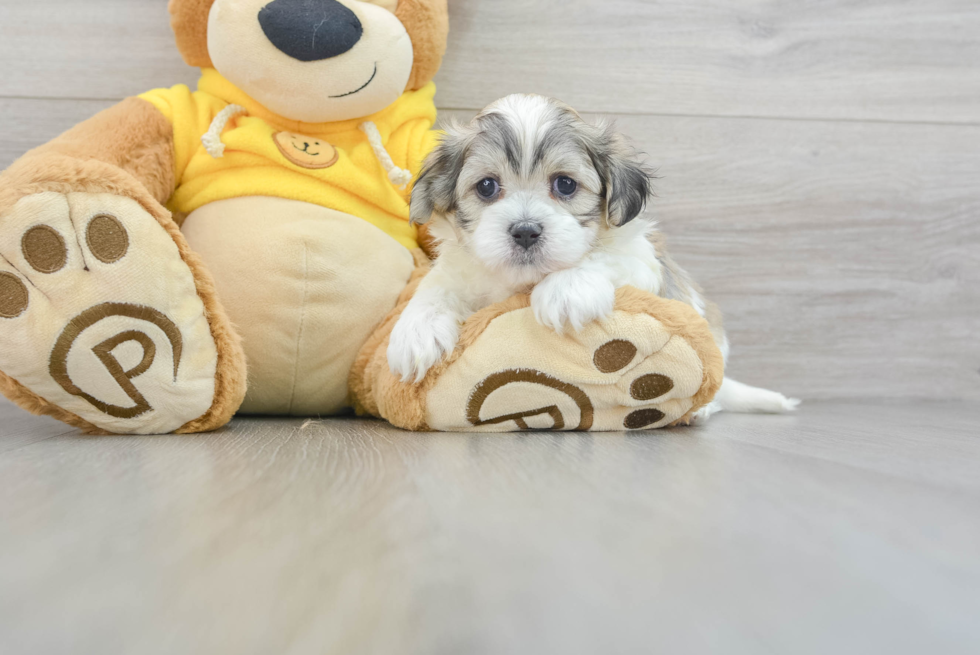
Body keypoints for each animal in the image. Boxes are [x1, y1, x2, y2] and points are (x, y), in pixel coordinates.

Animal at [384, 93, 796, 420]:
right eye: (486, 186)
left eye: (565, 184)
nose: (525, 230)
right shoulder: (460, 269)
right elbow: (435, 287)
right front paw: (416, 332)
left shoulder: (638, 257)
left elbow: (601, 257)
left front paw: (565, 289)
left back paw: (702, 408)